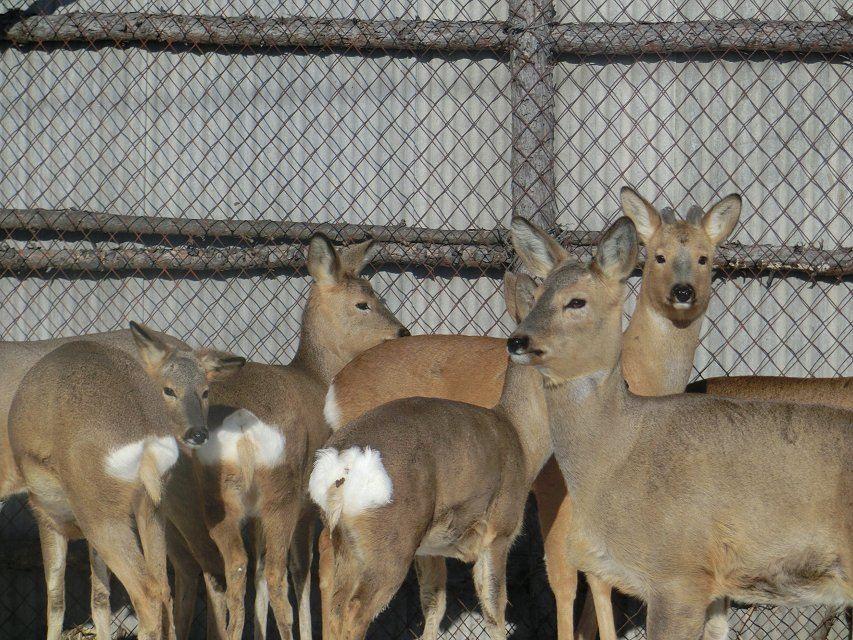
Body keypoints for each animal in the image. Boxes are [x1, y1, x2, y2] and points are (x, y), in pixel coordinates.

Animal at [6, 322, 245, 640]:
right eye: (169, 390)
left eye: (206, 392)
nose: (198, 433)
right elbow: (99, 597)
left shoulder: (46, 513)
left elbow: (55, 599)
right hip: (152, 507)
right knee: (166, 582)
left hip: (101, 510)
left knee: (153, 588)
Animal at [192, 234, 406, 640]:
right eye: (363, 302)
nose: (402, 333)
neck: (318, 377)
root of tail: (239, 425)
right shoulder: (310, 507)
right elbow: (302, 572)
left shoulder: (257, 517)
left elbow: (259, 575)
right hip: (283, 492)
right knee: (278, 574)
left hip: (219, 500)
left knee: (236, 568)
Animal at [308, 268, 552, 640]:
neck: (519, 437)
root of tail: (341, 468)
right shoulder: (498, 531)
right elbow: (494, 610)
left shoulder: (430, 548)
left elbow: (434, 605)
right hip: (389, 545)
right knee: (353, 611)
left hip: (349, 544)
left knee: (334, 603)